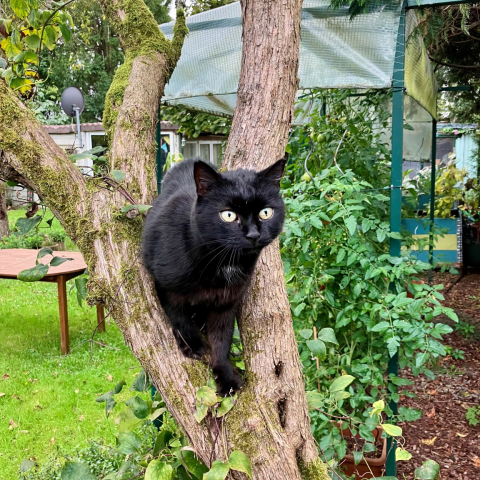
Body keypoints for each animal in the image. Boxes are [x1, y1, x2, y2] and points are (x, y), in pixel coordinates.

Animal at [142, 158, 284, 394]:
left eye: (265, 212)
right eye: (228, 215)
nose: (253, 235)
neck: (224, 262)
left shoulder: (226, 302)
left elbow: (221, 340)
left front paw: (226, 378)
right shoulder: (165, 285)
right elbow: (177, 315)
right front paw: (192, 344)